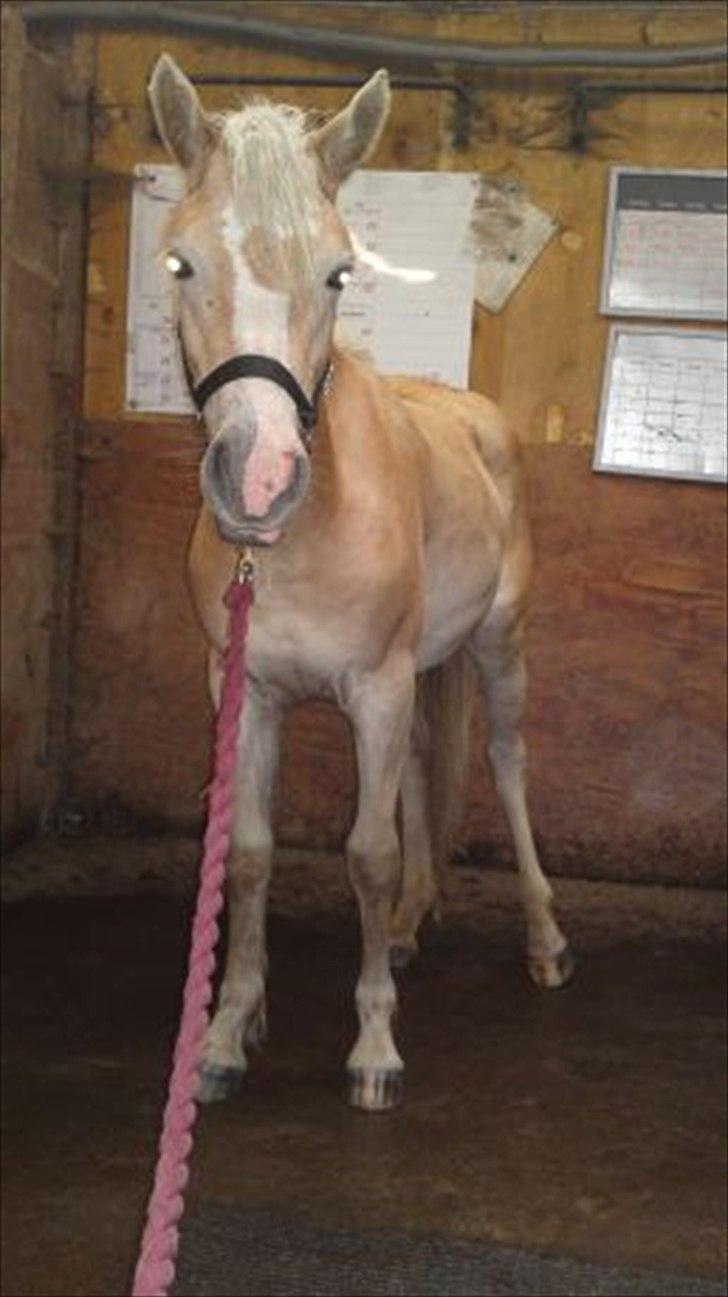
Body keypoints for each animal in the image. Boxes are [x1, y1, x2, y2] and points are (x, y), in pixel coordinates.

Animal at [149, 55, 573, 1110]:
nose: (260, 479)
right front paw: (227, 1031)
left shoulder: (374, 690)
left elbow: (369, 856)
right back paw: (415, 927)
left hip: (497, 650)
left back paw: (545, 938)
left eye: (341, 271)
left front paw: (375, 1046)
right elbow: (249, 857)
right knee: (427, 769)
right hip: (425, 670)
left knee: (505, 764)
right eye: (179, 264)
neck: (300, 540)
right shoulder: (247, 691)